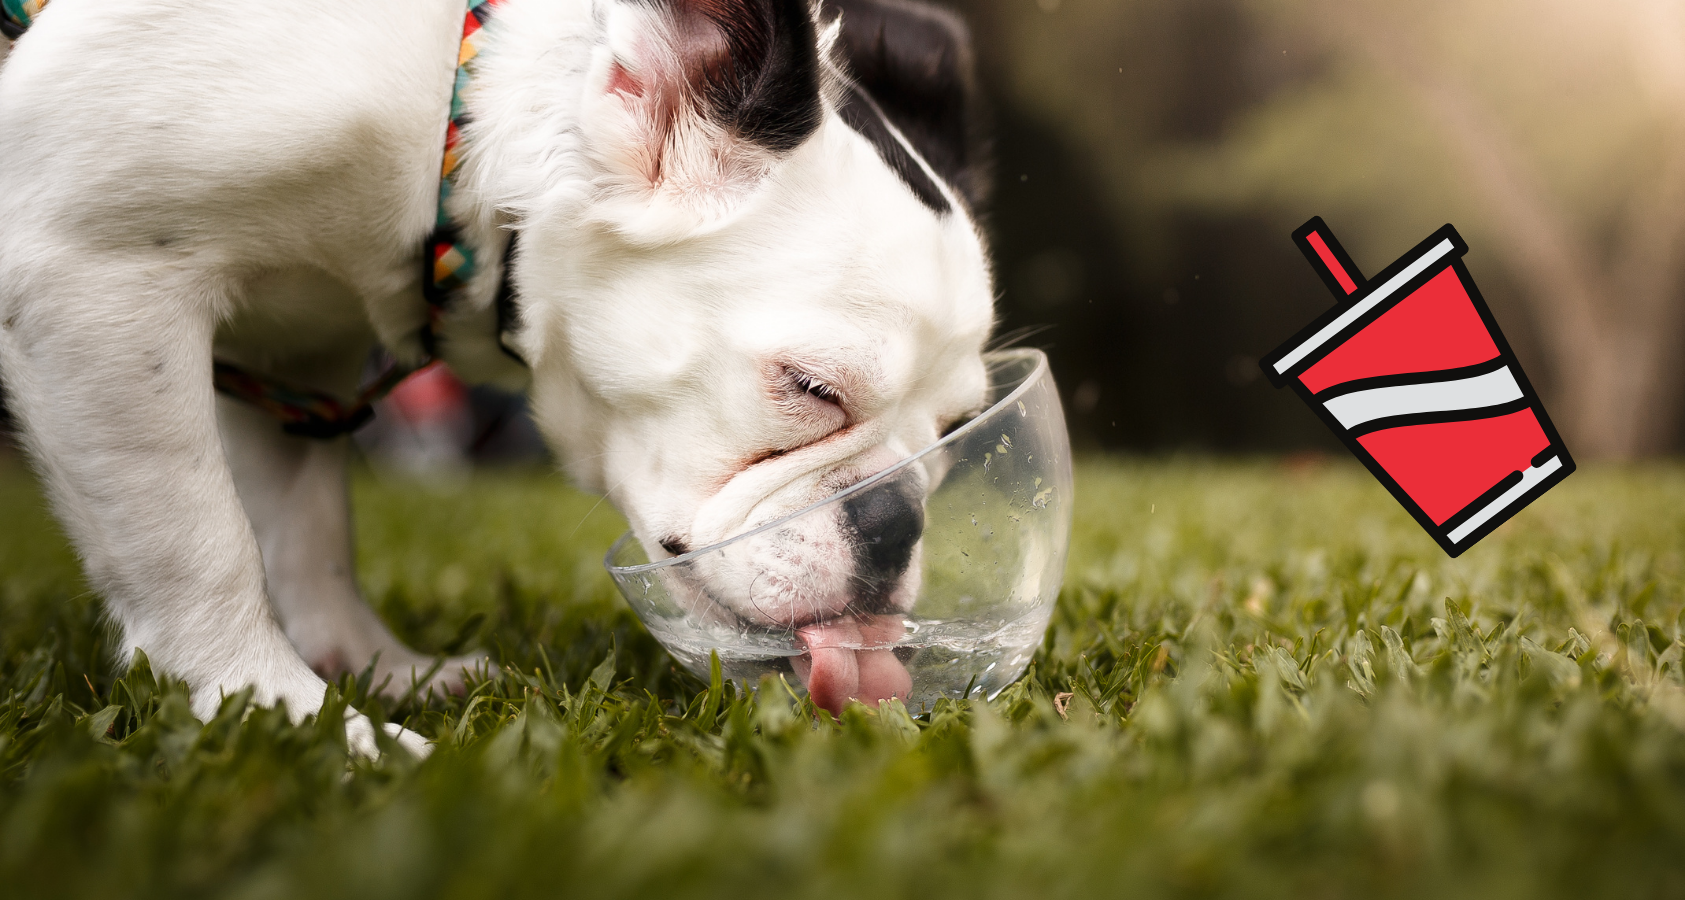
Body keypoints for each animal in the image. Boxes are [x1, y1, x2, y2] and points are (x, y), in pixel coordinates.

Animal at [0, 0, 990, 751]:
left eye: (950, 434)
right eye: (809, 388)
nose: (896, 521)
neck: (456, 119)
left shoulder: (294, 363)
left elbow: (307, 527)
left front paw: (363, 668)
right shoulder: (95, 281)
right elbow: (200, 551)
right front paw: (288, 717)